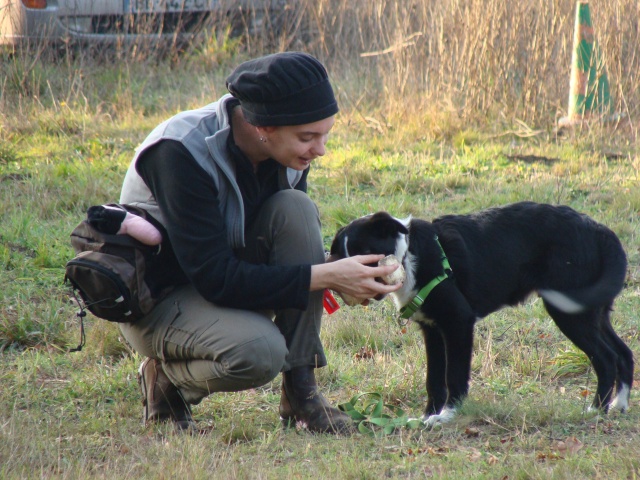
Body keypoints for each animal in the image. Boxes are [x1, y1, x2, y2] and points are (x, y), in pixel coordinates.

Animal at [332, 201, 632, 426]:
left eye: (367, 251)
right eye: (342, 257)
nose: (353, 282)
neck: (410, 255)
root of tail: (599, 230)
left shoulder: (458, 324)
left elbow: (454, 375)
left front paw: (448, 415)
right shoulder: (432, 329)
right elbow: (434, 379)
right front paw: (428, 416)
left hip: (570, 311)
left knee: (606, 358)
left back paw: (596, 409)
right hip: (593, 311)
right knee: (623, 353)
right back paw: (619, 405)